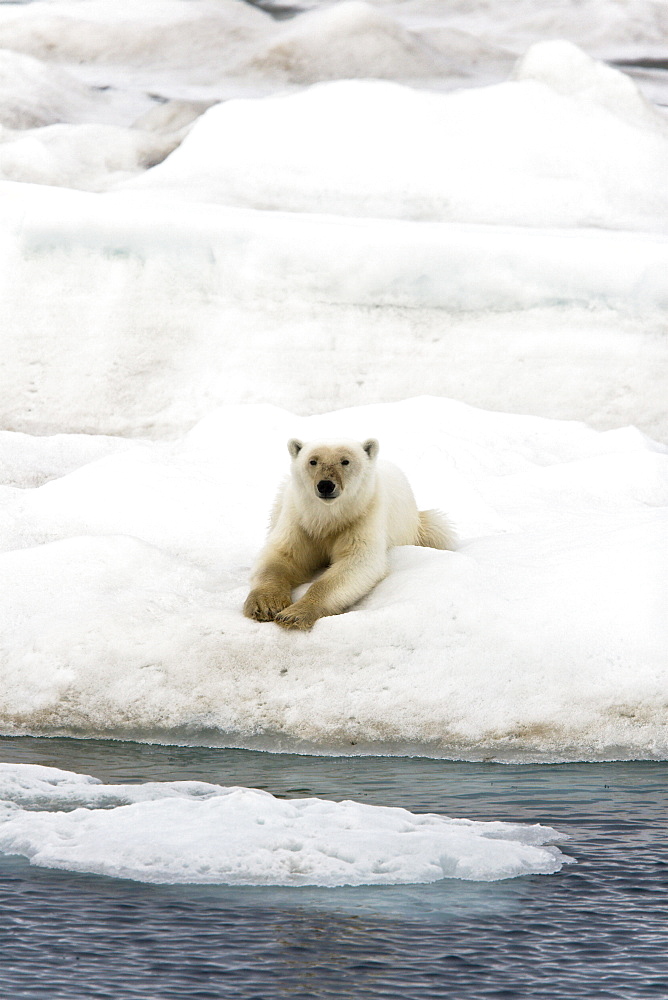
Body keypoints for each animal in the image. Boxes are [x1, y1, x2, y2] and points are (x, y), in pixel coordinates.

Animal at [240, 440, 454, 628]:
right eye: (313, 461)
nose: (326, 485)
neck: (329, 518)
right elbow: (281, 556)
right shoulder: (300, 519)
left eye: (345, 461)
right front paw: (266, 605)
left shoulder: (363, 515)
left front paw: (294, 614)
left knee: (438, 529)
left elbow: (357, 562)